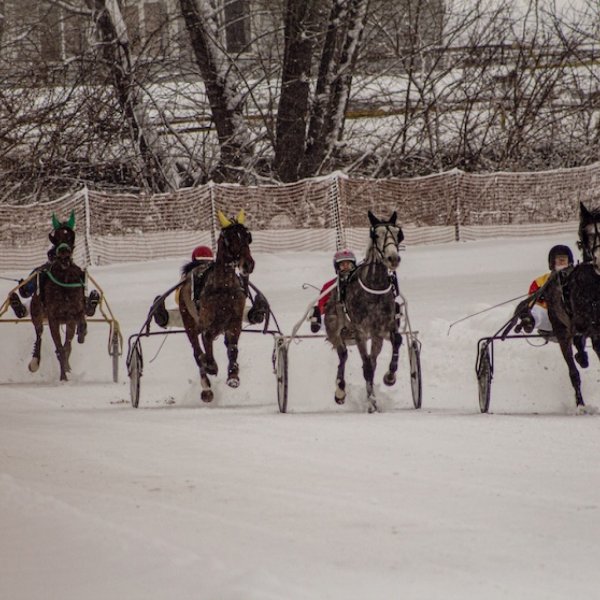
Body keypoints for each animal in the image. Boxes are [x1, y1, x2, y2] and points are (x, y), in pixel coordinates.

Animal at [177, 209, 254, 400]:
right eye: (230, 238)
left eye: (247, 237)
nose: (248, 264)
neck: (223, 288)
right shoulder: (207, 324)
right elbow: (206, 345)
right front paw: (211, 365)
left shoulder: (234, 322)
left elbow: (232, 348)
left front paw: (233, 375)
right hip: (188, 321)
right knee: (197, 352)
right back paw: (206, 386)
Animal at [326, 211, 406, 412]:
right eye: (376, 235)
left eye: (398, 233)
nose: (393, 258)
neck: (374, 287)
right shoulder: (360, 331)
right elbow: (367, 367)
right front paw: (371, 403)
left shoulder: (383, 327)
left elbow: (396, 340)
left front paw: (390, 376)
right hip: (334, 330)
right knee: (343, 355)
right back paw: (340, 390)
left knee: (371, 360)